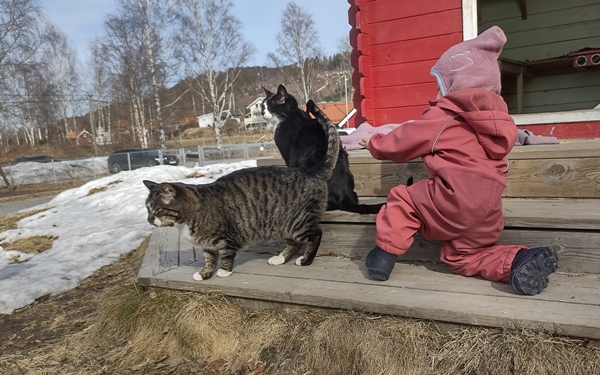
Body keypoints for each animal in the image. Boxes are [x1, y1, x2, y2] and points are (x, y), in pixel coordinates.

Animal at [142, 100, 338, 282]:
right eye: (147, 209)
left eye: (156, 210)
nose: (149, 220)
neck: (187, 218)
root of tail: (311, 171)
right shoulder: (208, 246)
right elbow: (209, 260)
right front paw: (205, 274)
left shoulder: (224, 239)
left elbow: (226, 256)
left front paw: (224, 271)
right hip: (283, 224)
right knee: (294, 243)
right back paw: (280, 258)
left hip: (296, 221)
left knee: (315, 235)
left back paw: (305, 260)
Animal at [262, 84, 384, 214]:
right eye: (262, 105)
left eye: (270, 105)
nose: (262, 111)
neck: (292, 115)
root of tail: (345, 196)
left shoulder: (288, 156)